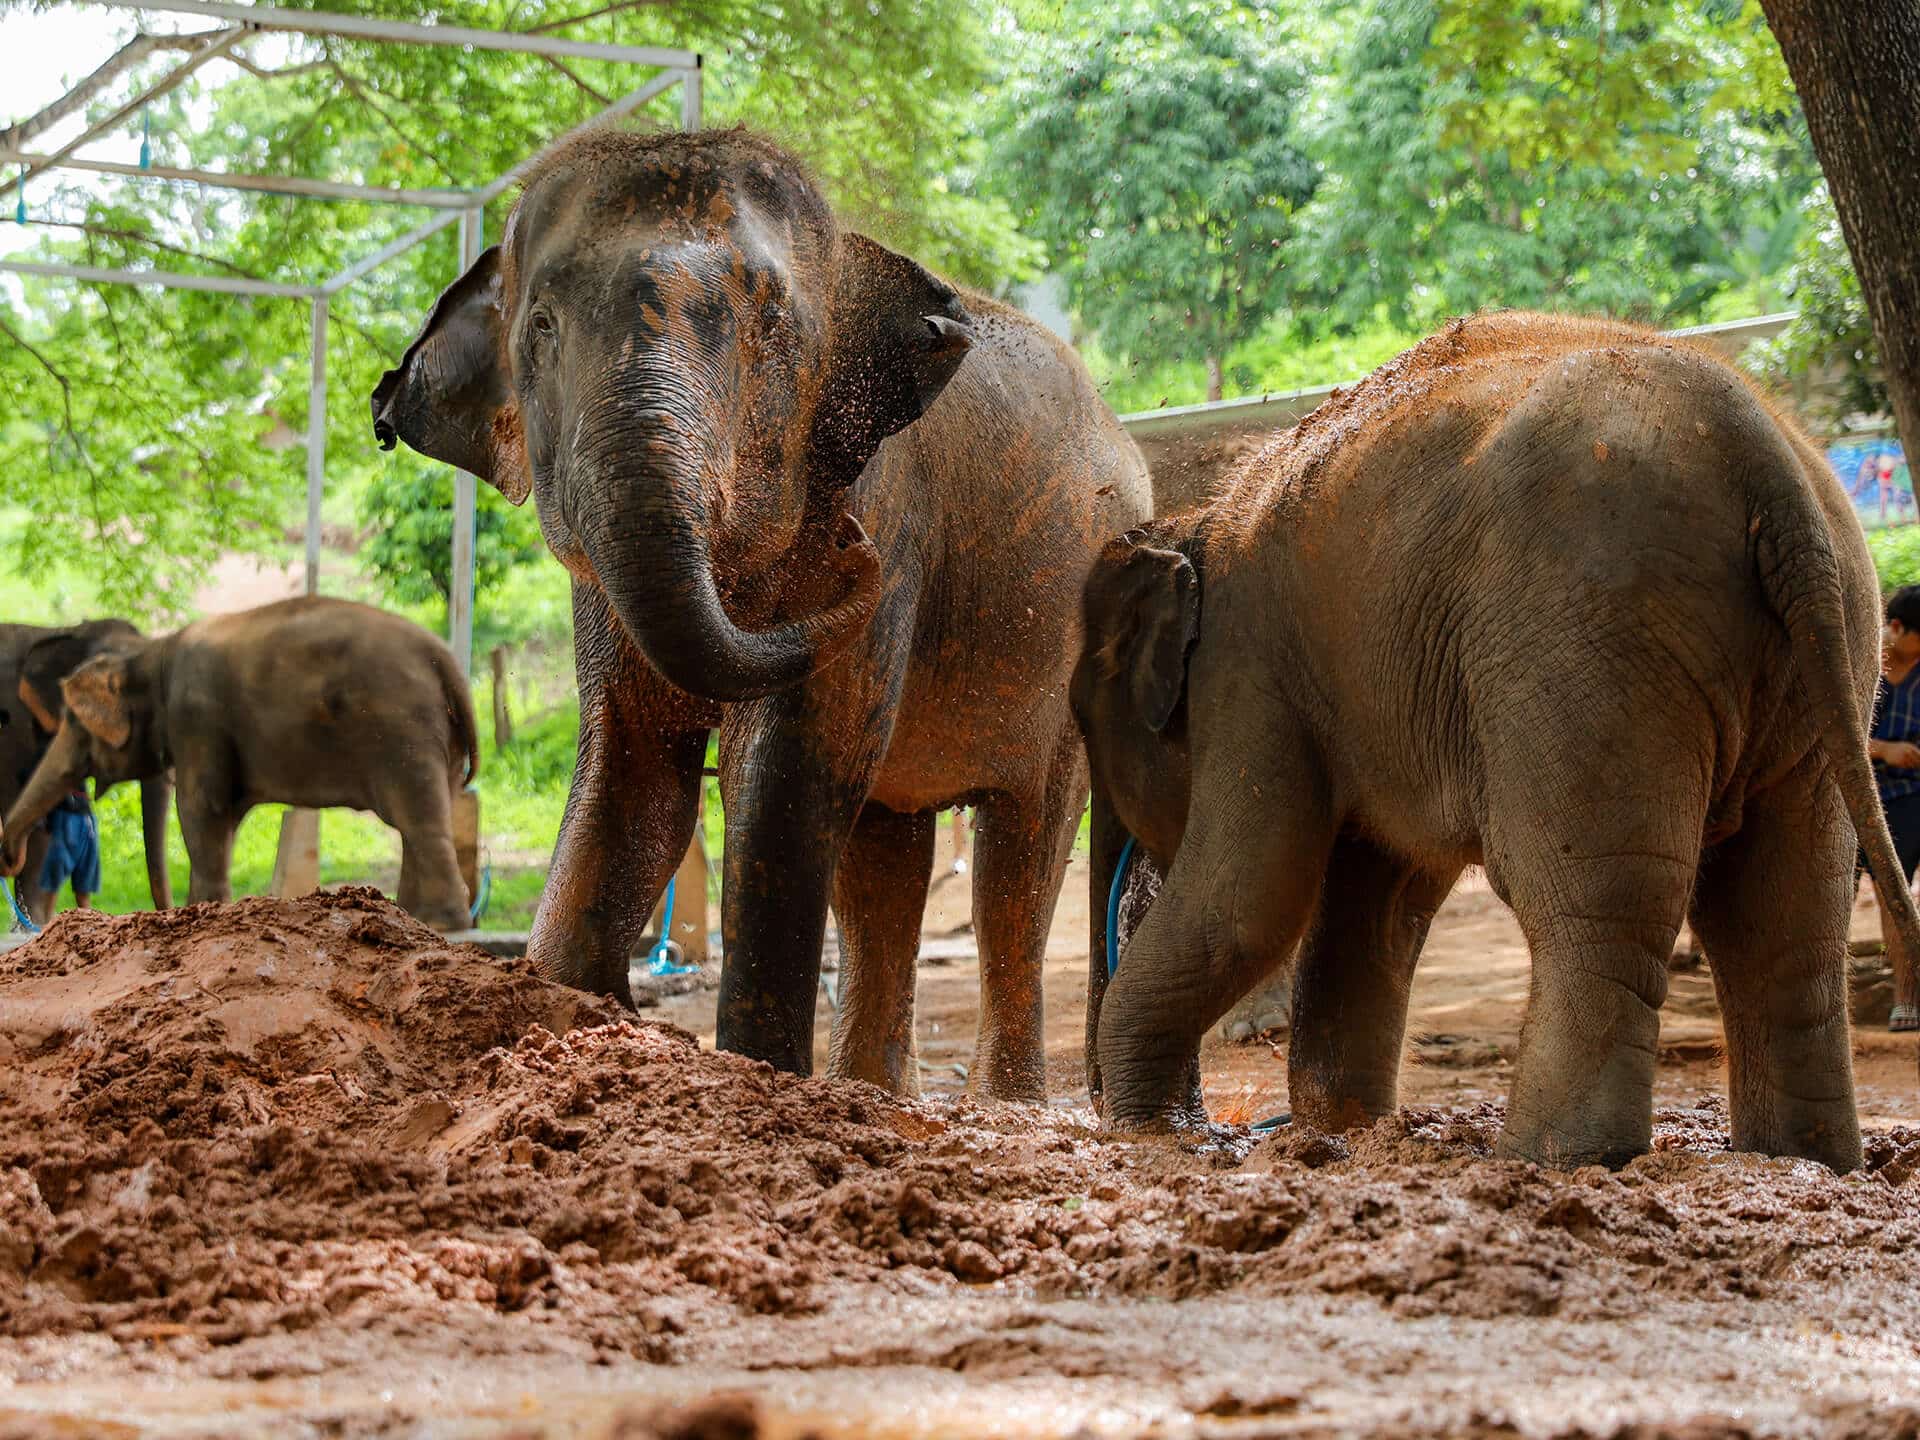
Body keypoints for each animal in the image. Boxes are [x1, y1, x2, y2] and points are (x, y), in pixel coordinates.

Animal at [371, 126, 1150, 1098]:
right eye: (541, 327)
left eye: (770, 326)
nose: (854, 550)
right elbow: (634, 761)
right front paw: (560, 1012)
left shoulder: (884, 500)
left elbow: (784, 772)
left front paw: (759, 1078)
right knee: (883, 852)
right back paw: (874, 1094)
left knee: (1019, 851)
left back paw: (1001, 1105)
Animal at [1073, 311, 1920, 1172]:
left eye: (1083, 722)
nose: (1110, 1113)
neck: (1194, 526)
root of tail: (1769, 467)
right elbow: (1379, 900)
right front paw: (1339, 1132)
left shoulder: (1249, 670)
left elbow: (1253, 893)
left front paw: (1157, 1131)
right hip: (1830, 655)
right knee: (1783, 916)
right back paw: (1801, 1160)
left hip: (1582, 644)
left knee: (1596, 901)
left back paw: (1551, 1159)